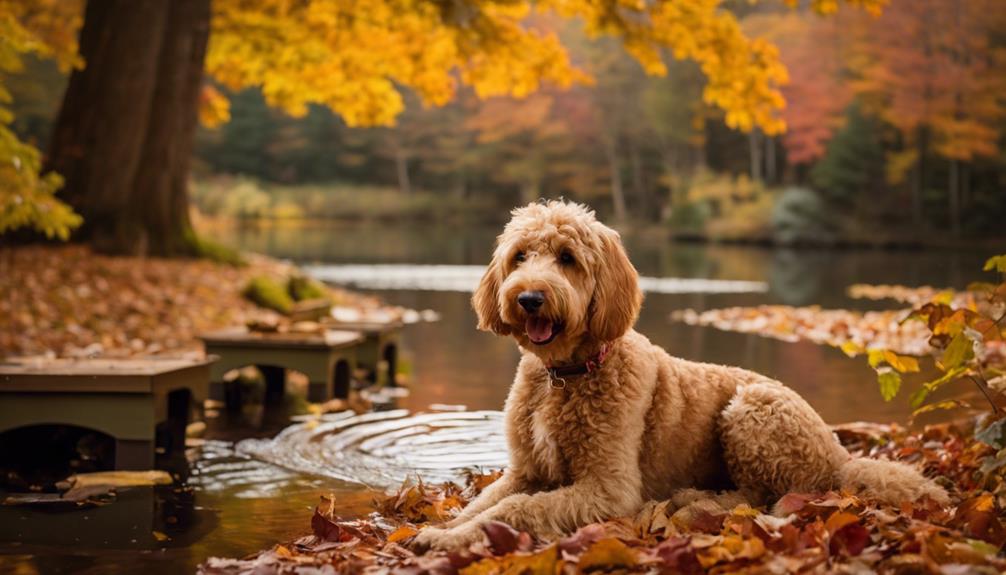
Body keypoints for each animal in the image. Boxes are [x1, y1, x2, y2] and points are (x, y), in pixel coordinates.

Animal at [412, 200, 945, 550]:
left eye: (567, 258)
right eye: (520, 256)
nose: (528, 298)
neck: (565, 374)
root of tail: (840, 454)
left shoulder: (607, 488)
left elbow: (515, 510)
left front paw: (450, 540)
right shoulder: (525, 470)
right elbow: (482, 502)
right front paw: (440, 529)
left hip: (752, 411)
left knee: (762, 498)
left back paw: (696, 499)